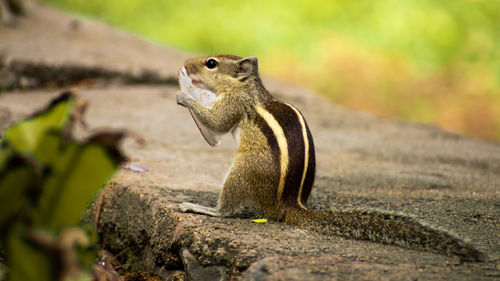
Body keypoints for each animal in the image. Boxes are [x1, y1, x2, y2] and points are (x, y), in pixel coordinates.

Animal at [175, 54, 484, 260]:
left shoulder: (235, 104)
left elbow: (217, 122)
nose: (186, 64)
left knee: (227, 210)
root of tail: (289, 205)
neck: (247, 86)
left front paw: (184, 96)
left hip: (243, 169)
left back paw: (202, 207)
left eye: (211, 63)